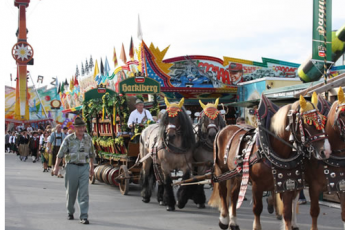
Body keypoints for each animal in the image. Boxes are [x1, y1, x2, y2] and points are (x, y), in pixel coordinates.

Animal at [207, 95, 330, 230]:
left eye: (323, 121)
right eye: (308, 122)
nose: (326, 150)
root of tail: (225, 128)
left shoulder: (287, 184)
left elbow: (287, 213)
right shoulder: (257, 185)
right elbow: (257, 209)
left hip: (238, 174)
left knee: (234, 195)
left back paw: (233, 222)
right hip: (221, 169)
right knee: (223, 192)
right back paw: (224, 219)